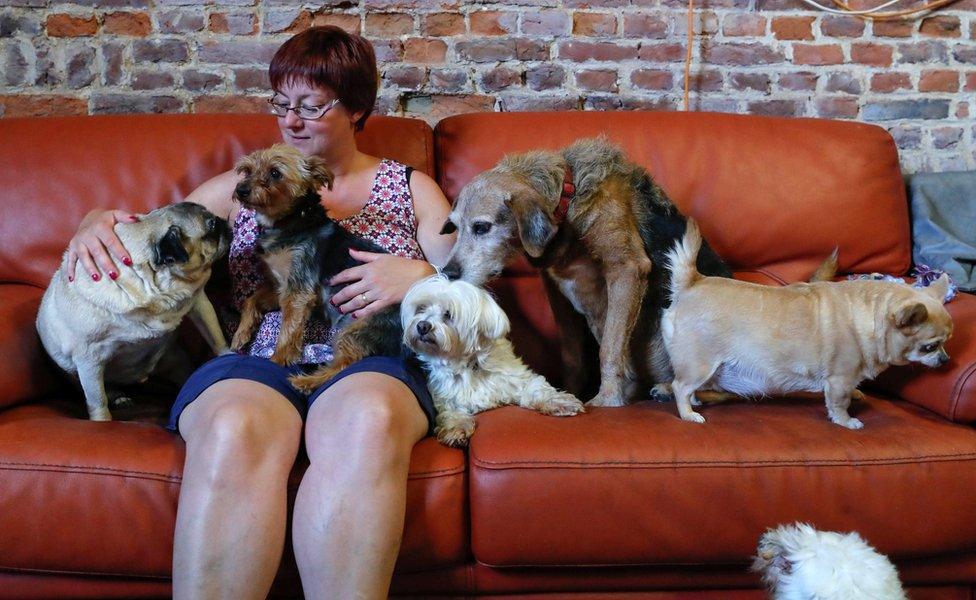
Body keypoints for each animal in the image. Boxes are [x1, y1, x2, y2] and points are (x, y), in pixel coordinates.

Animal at [400, 276, 584, 446]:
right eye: (421, 309)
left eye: (448, 314)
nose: (422, 326)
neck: (468, 365)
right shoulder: (447, 399)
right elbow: (452, 412)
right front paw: (457, 428)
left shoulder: (516, 378)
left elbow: (537, 388)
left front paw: (560, 401)